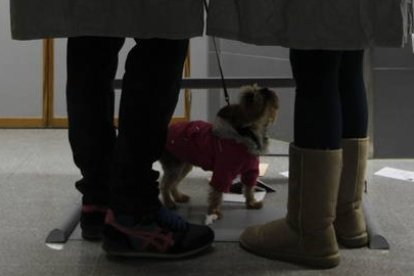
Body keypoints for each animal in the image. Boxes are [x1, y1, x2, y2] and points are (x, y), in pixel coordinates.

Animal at [158, 84, 278, 222]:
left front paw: (251, 203)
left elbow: (249, 188)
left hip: (184, 165)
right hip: (174, 164)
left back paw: (179, 197)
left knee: (174, 183)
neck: (246, 134)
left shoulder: (251, 170)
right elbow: (216, 193)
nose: (266, 89)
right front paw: (214, 212)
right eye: (250, 97)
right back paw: (169, 203)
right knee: (165, 184)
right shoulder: (223, 171)